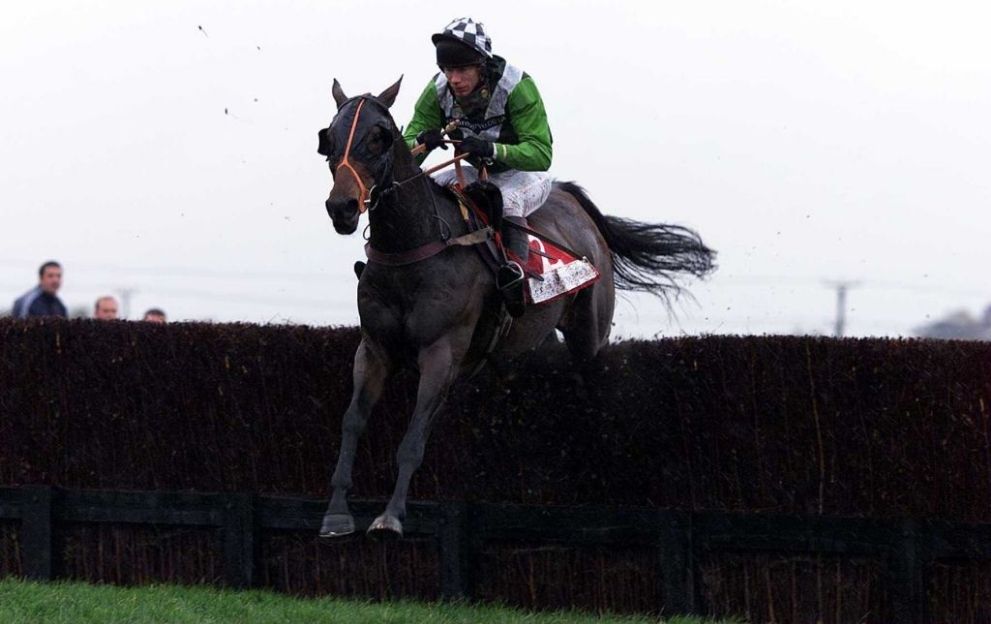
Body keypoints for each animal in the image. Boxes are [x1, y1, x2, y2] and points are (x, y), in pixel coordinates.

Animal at [318, 75, 712, 540]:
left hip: (589, 333)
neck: (414, 248)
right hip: (521, 343)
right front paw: (336, 514)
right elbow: (352, 422)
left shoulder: (441, 353)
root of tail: (572, 201)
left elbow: (413, 440)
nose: (341, 207)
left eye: (379, 136)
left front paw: (391, 516)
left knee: (591, 379)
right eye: (328, 137)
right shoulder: (374, 349)